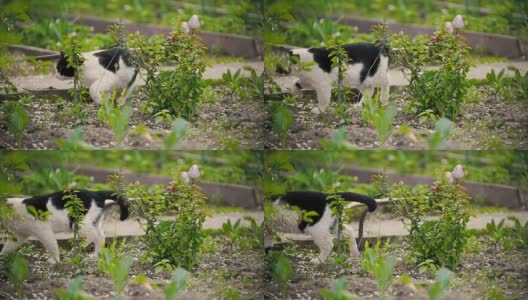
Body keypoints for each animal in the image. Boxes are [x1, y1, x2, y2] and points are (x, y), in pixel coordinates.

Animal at [0, 190, 129, 262]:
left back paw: (77, 249)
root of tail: (96, 193)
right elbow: (8, 247)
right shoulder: (18, 235)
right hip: (93, 222)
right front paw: (2, 256)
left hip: (79, 224)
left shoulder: (44, 231)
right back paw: (96, 255)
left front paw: (55, 260)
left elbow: (52, 246)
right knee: (101, 237)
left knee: (92, 236)